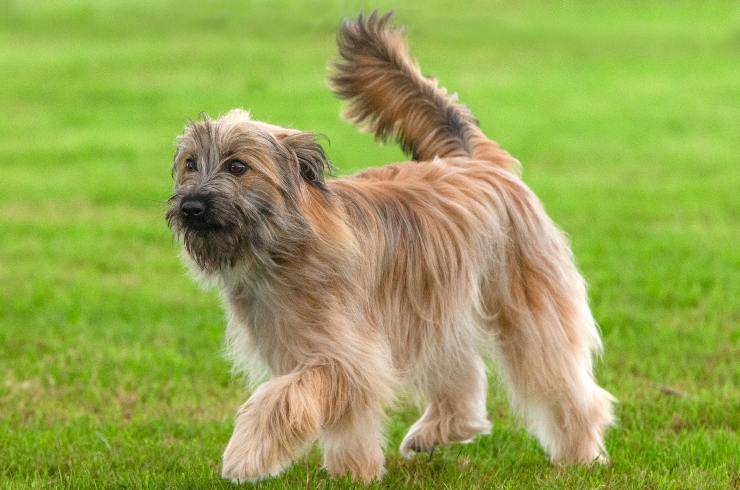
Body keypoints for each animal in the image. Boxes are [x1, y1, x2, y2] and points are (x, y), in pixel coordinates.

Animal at [166, 10, 612, 482]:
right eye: (190, 164)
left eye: (238, 166)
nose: (190, 207)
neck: (285, 249)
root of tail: (477, 162)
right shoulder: (318, 347)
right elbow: (343, 418)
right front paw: (353, 471)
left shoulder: (346, 355)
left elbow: (285, 398)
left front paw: (247, 454)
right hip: (436, 305)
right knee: (463, 375)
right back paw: (438, 431)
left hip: (527, 308)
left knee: (563, 383)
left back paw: (581, 454)